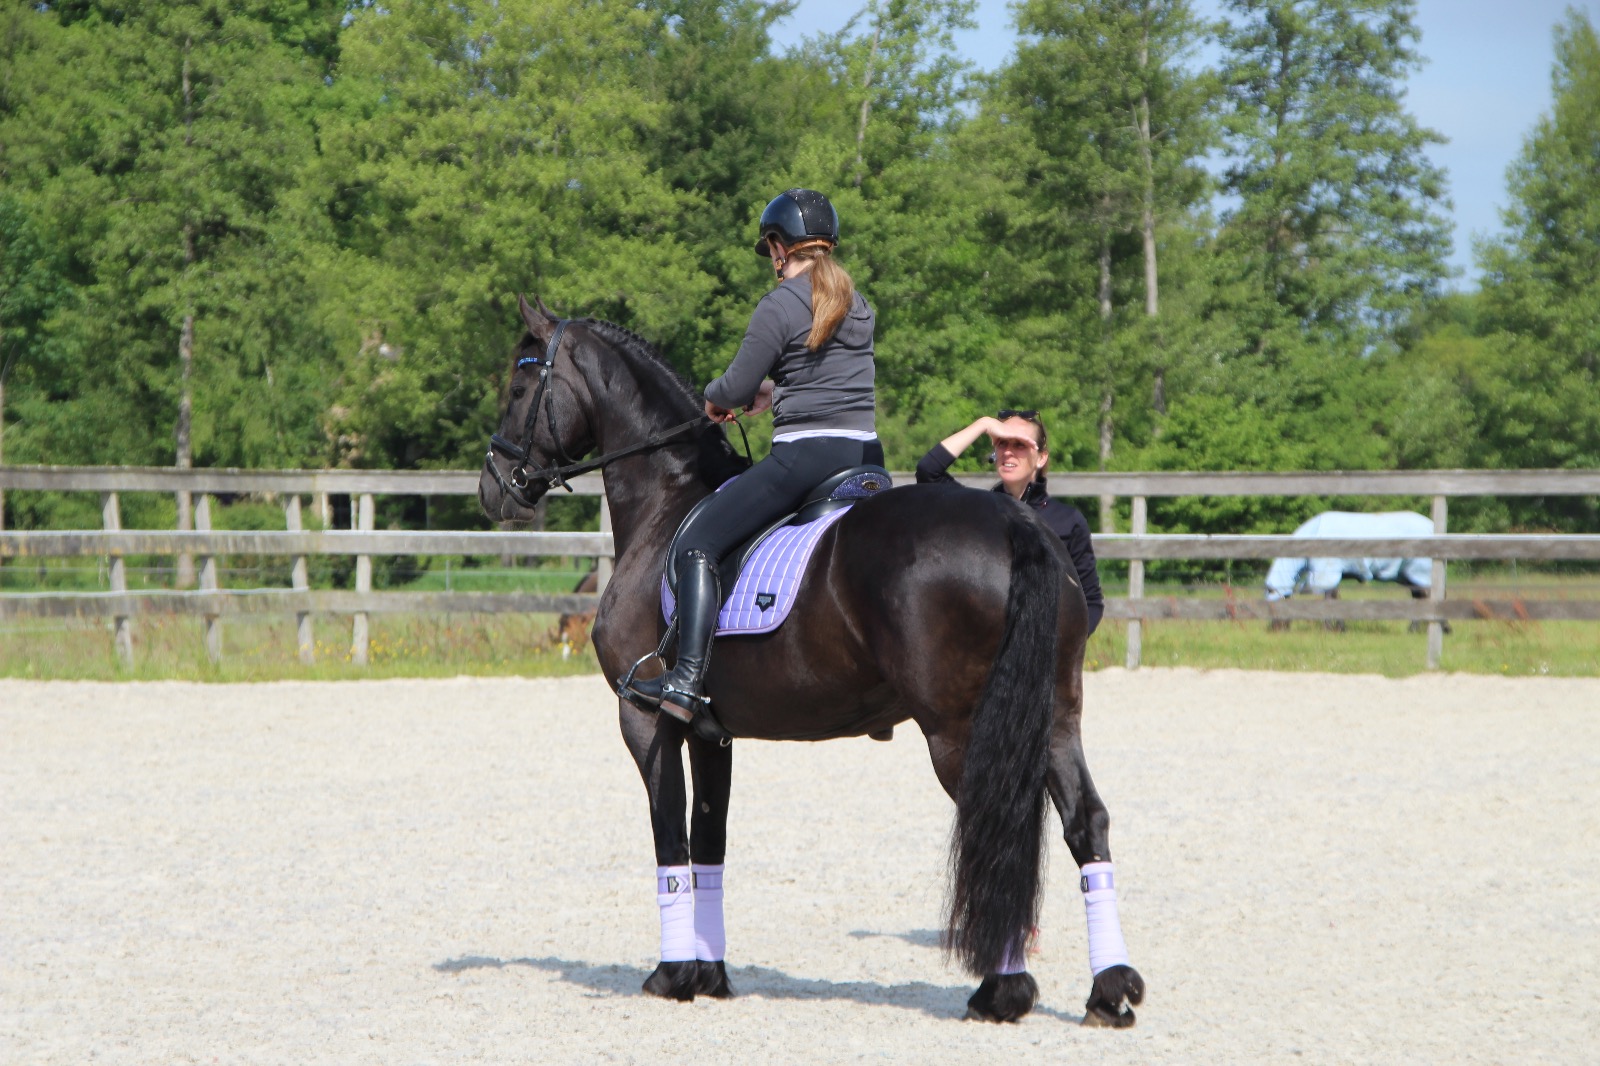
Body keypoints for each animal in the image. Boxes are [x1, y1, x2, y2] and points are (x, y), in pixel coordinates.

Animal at [470, 292, 1139, 1024]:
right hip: (1054, 718)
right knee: (1085, 823)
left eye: (518, 387)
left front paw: (672, 976)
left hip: (961, 731)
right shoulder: (712, 733)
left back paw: (1001, 991)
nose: (494, 487)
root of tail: (1015, 522)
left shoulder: (648, 720)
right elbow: (709, 841)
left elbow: (670, 837)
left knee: (995, 827)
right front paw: (710, 975)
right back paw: (1108, 990)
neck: (667, 503)